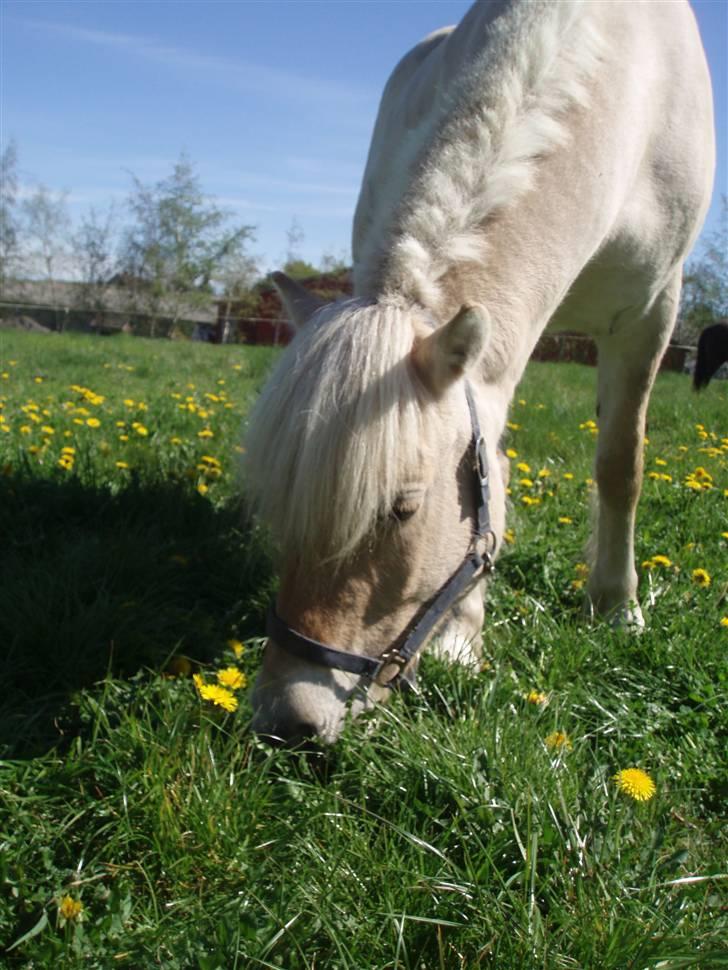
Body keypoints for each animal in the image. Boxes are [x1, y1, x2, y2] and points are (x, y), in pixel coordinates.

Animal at [243, 0, 712, 740]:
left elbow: (621, 467)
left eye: (403, 508)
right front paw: (462, 634)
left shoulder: (652, 313)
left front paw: (617, 606)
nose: (286, 717)